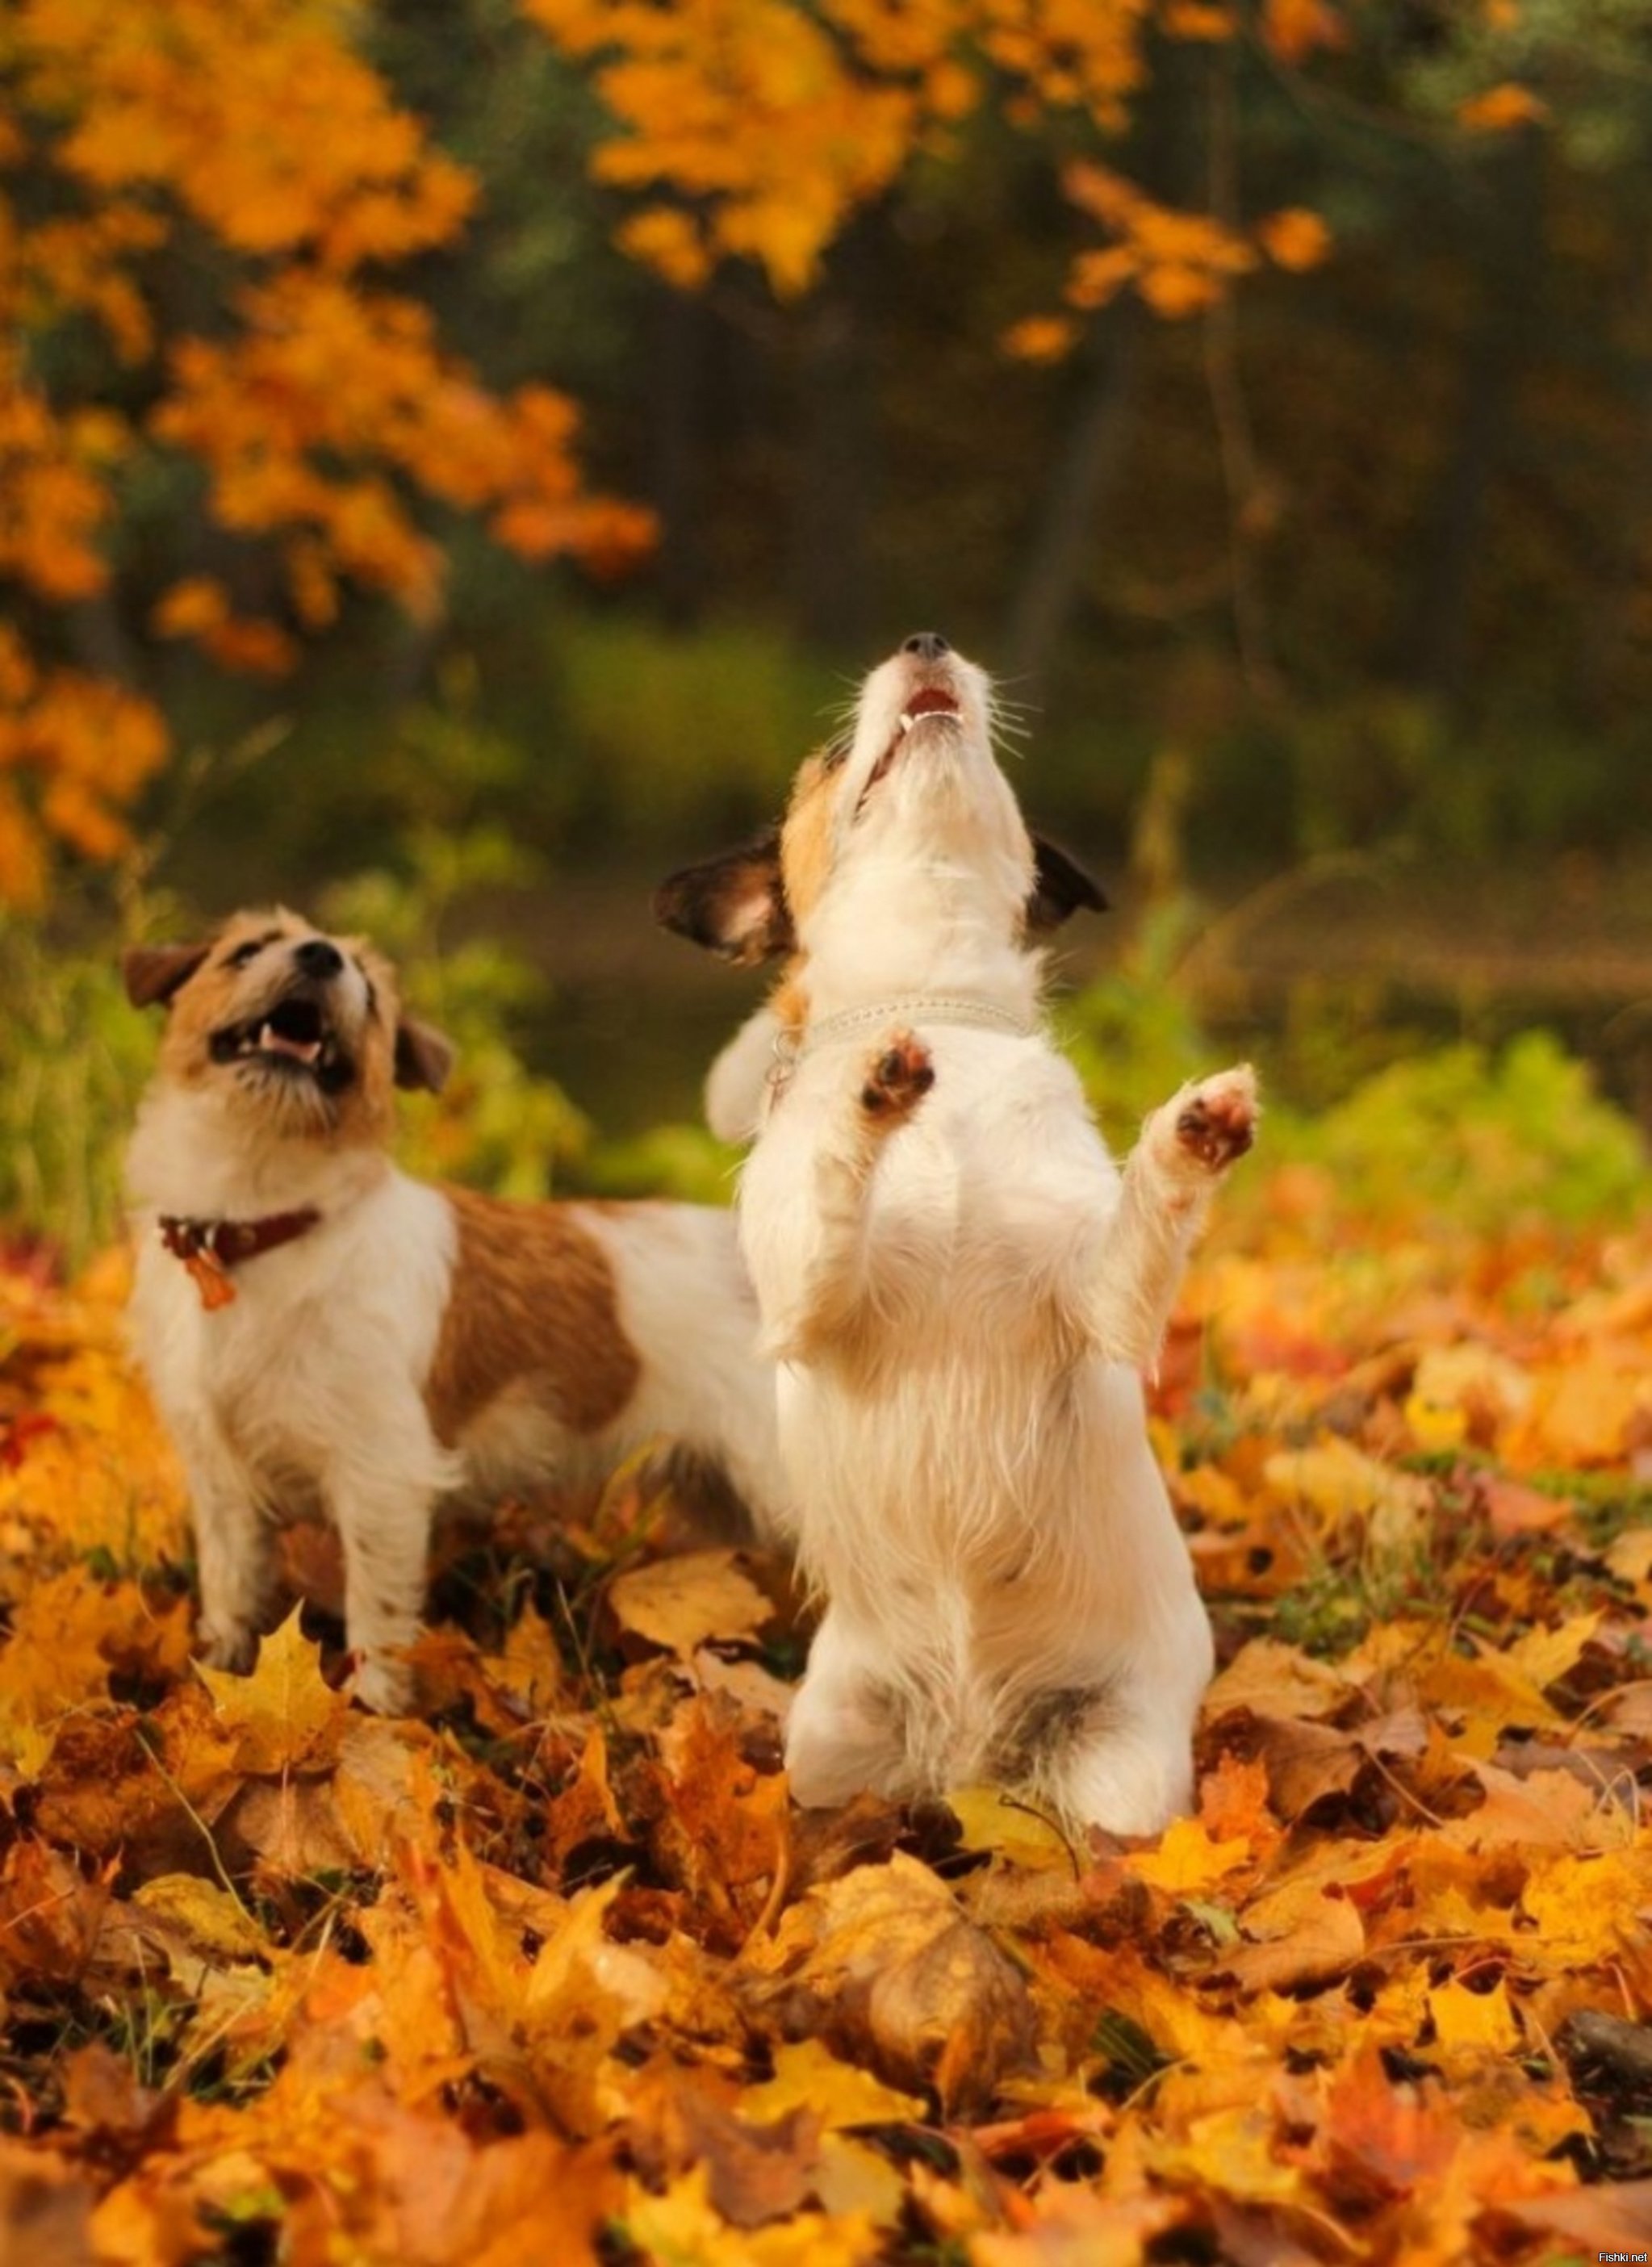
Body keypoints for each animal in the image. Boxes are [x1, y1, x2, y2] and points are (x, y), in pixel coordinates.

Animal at [123, 911, 784, 1704]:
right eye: (245, 952)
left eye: (370, 990)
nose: (320, 956)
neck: (259, 1226)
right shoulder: (222, 1484)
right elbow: (230, 1590)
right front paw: (216, 1682)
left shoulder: (381, 1477)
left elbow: (375, 1619)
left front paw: (377, 1716)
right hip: (723, 1498)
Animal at [661, 629, 1260, 1831]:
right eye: (830, 758)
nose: (926, 640)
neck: (933, 1003)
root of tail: (968, 1758)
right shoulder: (805, 1295)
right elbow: (831, 1184)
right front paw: (869, 1091)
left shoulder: (1101, 1301)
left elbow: (1143, 1210)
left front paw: (1191, 1133)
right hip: (824, 1753)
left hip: (1120, 1771)